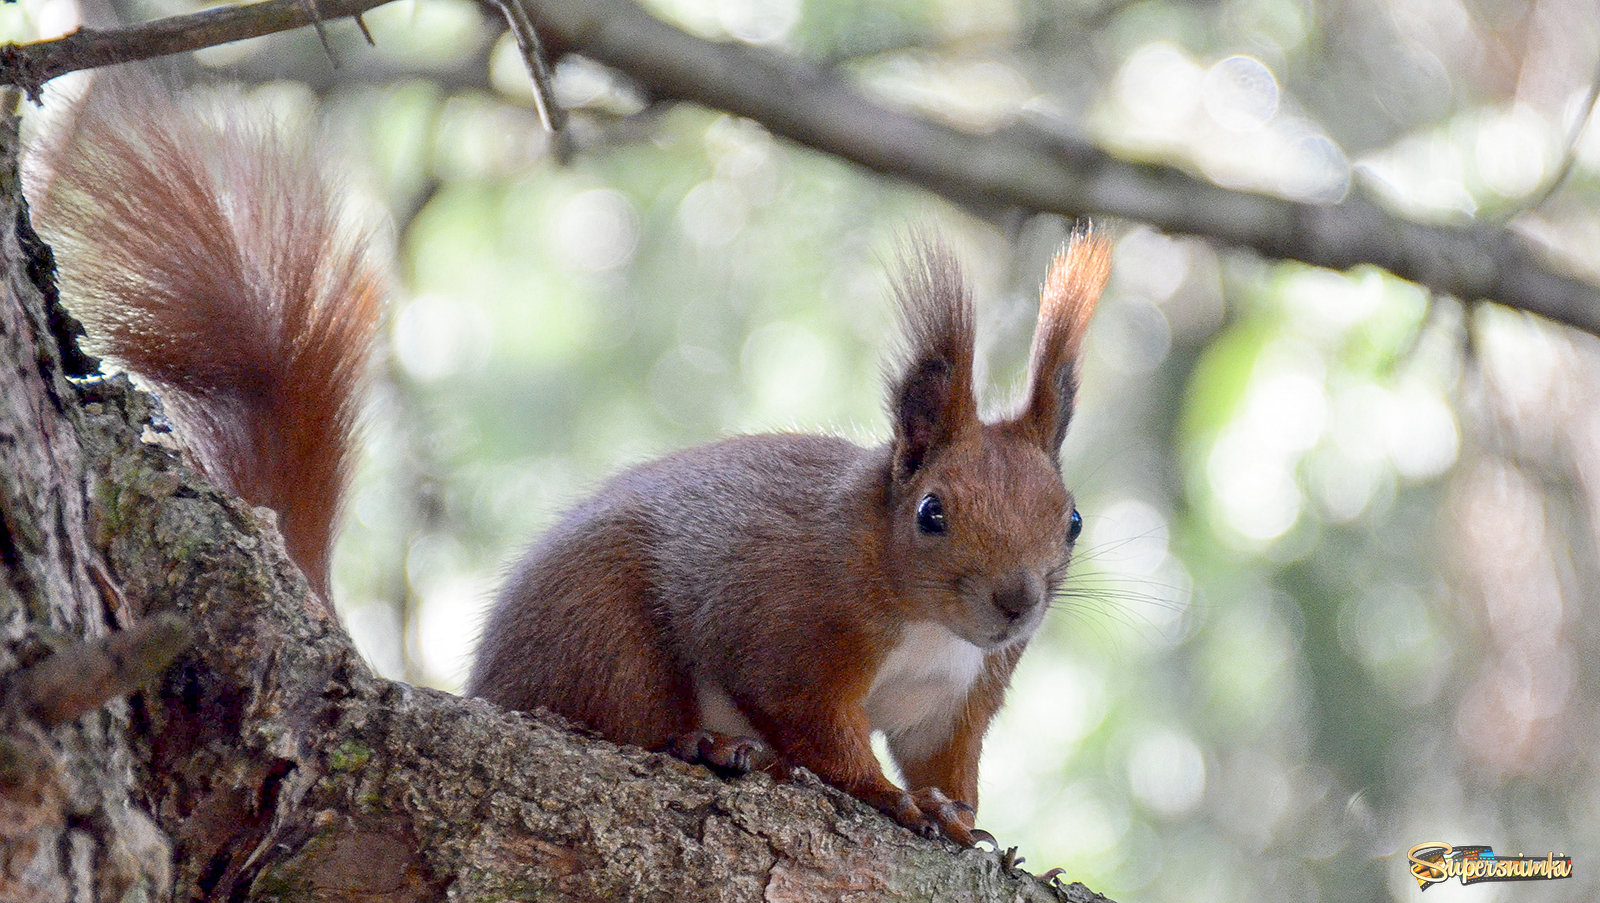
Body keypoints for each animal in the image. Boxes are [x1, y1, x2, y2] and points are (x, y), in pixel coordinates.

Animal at [31, 79, 1107, 845]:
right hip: (604, 635)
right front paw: (888, 799)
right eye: (931, 513)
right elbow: (816, 729)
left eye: (1073, 518)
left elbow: (945, 760)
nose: (1016, 602)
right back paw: (707, 743)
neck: (922, 619)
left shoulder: (964, 691)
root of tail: (485, 687)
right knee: (621, 712)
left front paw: (961, 819)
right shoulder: (792, 625)